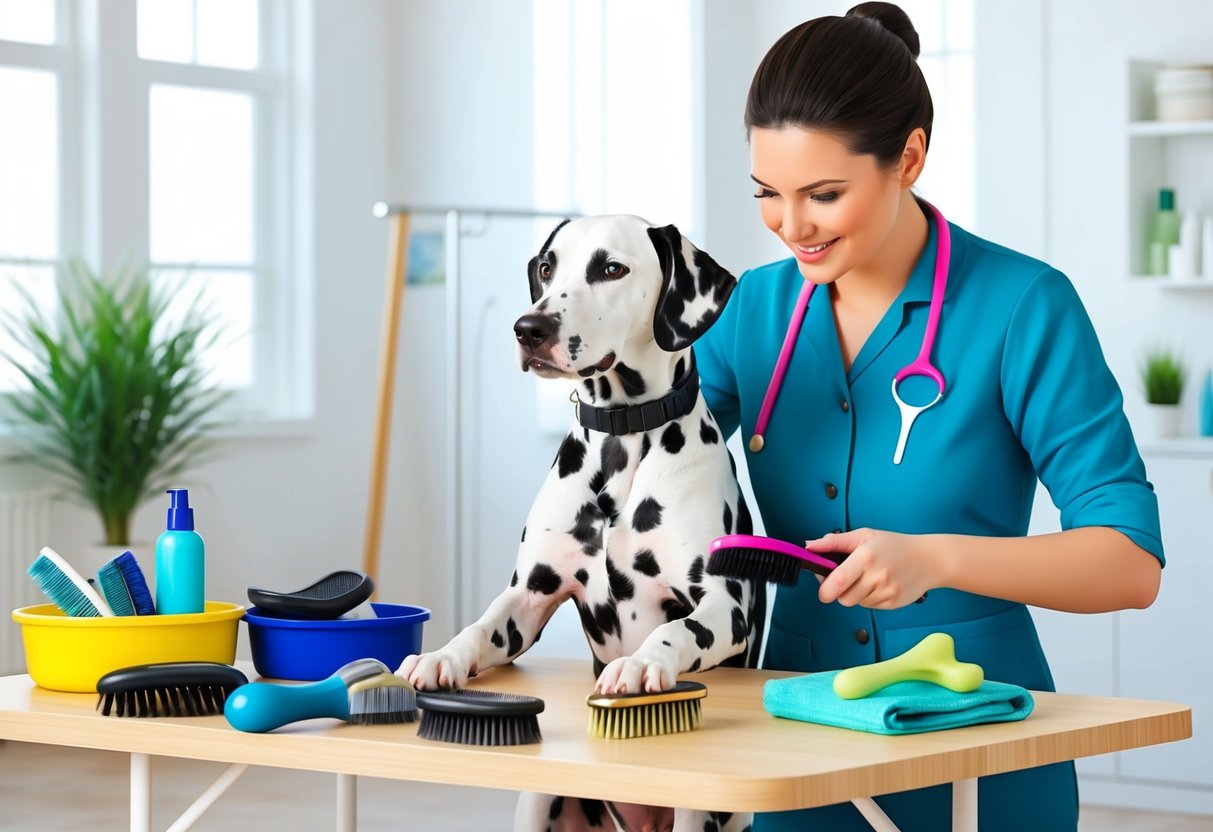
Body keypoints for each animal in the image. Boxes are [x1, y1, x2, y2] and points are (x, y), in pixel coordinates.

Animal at [400, 217, 766, 832]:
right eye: (548, 268)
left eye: (612, 268)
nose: (529, 328)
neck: (623, 439)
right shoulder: (528, 597)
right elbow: (481, 626)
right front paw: (440, 656)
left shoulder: (724, 604)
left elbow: (676, 630)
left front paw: (638, 665)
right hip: (538, 800)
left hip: (698, 813)